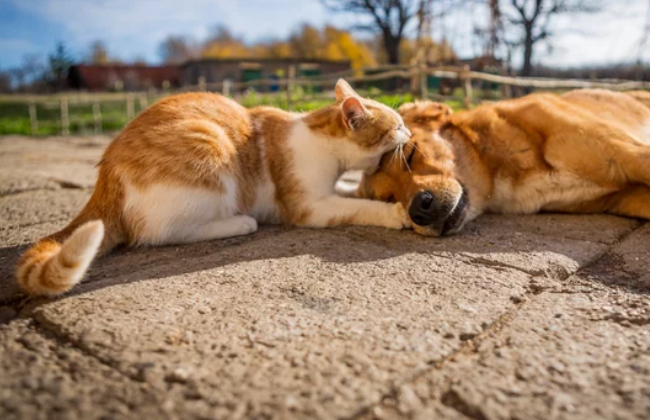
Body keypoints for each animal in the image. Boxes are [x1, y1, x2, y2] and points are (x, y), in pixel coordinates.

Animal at [19, 79, 410, 296]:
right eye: (397, 126)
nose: (409, 132)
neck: (322, 143)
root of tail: (107, 173)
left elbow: (348, 193)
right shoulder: (309, 206)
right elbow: (355, 207)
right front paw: (395, 213)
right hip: (209, 146)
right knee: (159, 232)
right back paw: (239, 222)